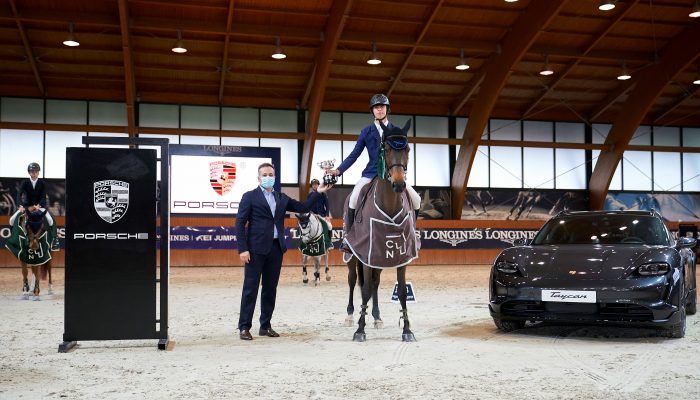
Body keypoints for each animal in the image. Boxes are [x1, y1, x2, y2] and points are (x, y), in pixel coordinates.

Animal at [342, 119, 418, 340]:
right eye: (387, 149)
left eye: (407, 149)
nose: (399, 184)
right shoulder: (366, 252)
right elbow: (365, 289)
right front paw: (360, 329)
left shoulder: (400, 254)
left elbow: (401, 291)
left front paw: (407, 330)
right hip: (353, 254)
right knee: (353, 281)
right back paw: (350, 316)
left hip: (379, 257)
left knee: (375, 282)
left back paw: (376, 317)